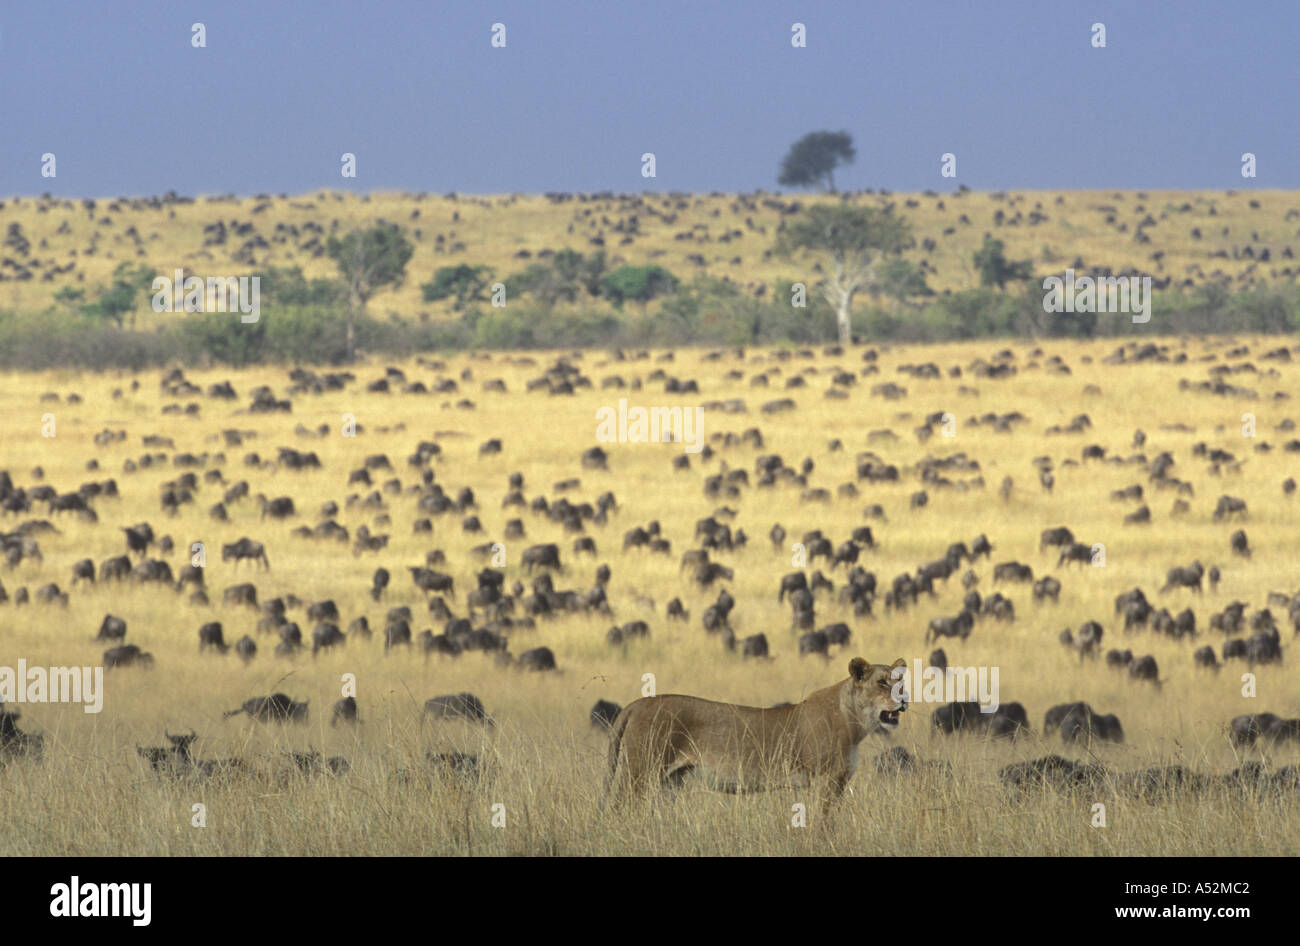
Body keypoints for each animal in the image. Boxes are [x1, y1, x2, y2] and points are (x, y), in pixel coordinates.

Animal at [603, 657, 906, 809]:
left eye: (901, 682)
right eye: (882, 682)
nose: (904, 699)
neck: (856, 724)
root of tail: (636, 704)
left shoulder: (838, 782)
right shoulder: (824, 781)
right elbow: (822, 824)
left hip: (670, 781)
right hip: (639, 772)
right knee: (620, 806)